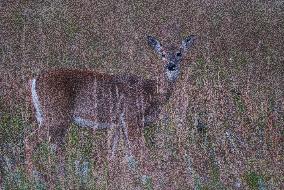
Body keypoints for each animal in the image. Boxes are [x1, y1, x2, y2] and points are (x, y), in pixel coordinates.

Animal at [24, 32, 196, 187]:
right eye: (162, 54)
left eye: (179, 53)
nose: (171, 66)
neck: (150, 91)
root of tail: (35, 80)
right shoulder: (130, 117)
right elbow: (139, 152)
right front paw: (151, 180)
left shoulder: (117, 124)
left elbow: (112, 155)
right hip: (55, 116)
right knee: (30, 140)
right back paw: (33, 179)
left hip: (48, 117)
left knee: (54, 147)